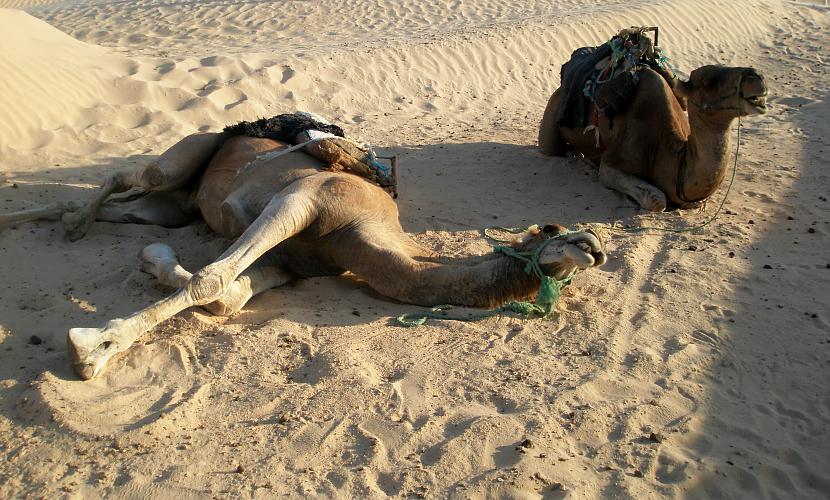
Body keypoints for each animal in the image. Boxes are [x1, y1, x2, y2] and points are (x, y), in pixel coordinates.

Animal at [3, 129, 608, 378]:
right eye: (552, 226)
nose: (596, 246)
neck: (367, 236)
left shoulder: (290, 265)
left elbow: (223, 297)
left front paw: (153, 263)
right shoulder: (305, 197)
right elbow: (211, 279)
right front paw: (90, 348)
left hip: (178, 204)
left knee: (125, 208)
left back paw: (72, 224)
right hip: (185, 157)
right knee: (130, 175)